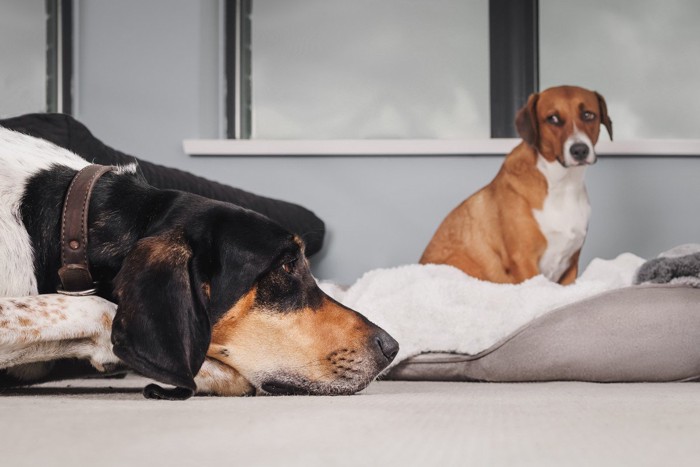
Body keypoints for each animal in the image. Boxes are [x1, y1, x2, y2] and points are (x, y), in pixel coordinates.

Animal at [422, 86, 612, 288]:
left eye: (588, 115)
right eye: (552, 118)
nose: (580, 150)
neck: (562, 184)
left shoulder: (570, 267)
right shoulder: (524, 261)